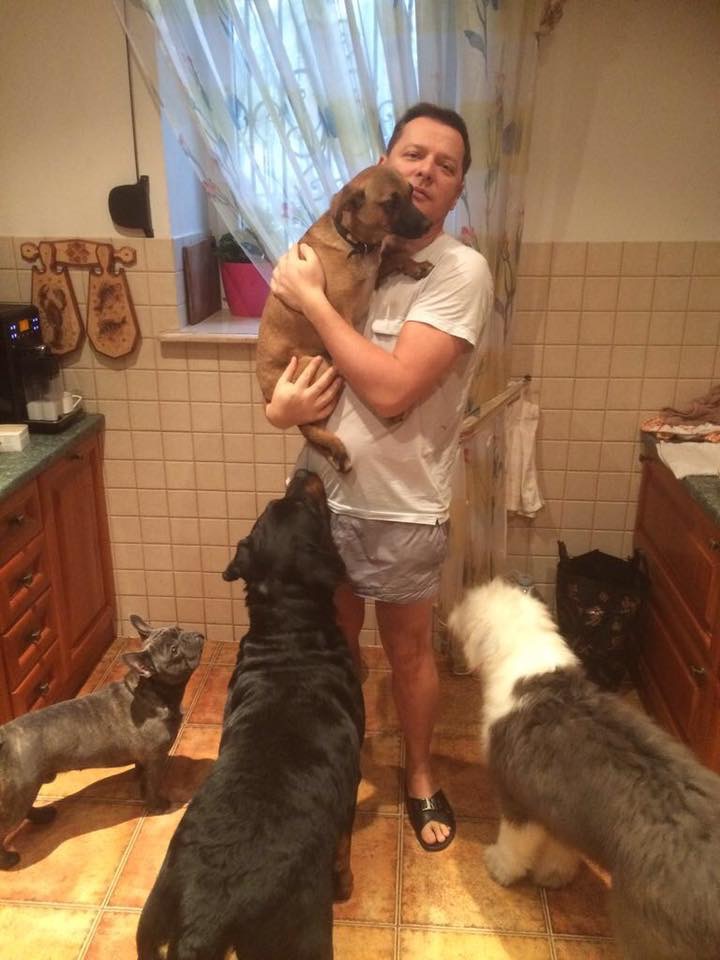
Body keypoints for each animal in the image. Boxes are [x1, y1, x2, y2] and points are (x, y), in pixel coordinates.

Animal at [0, 615, 204, 869]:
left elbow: (143, 775)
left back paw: (42, 817)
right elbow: (153, 783)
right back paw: (8, 859)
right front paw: (157, 805)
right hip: (20, 794)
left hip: (26, 790)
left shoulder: (147, 759)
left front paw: (140, 782)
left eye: (179, 629)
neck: (151, 690)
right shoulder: (156, 758)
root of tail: (4, 736)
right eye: (174, 650)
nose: (195, 635)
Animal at [136, 470, 365, 960]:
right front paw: (345, 884)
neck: (289, 629)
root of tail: (203, 920)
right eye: (306, 505)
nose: (302, 473)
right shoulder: (352, 778)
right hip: (301, 936)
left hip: (150, 922)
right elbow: (344, 842)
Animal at [256, 164, 433, 472]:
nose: (427, 225)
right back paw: (337, 449)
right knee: (306, 424)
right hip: (321, 365)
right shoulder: (342, 320)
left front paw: (416, 265)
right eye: (390, 203)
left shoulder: (374, 277)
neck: (356, 244)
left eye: (412, 192)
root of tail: (266, 392)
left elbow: (394, 258)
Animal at [448, 577, 720, 960]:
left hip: (650, 931)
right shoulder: (562, 811)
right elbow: (561, 849)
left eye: (469, 603)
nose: (449, 614)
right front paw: (554, 875)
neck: (529, 666)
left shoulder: (517, 798)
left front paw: (500, 867)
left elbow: (514, 843)